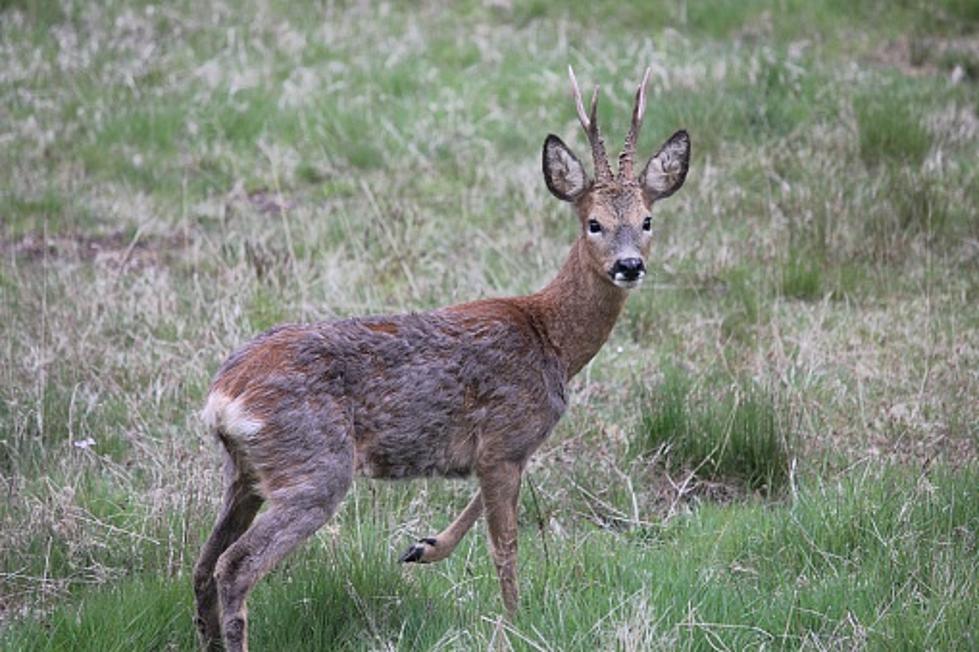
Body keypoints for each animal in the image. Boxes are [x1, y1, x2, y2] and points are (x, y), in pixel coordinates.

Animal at [195, 67, 692, 652]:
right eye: (593, 223)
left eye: (648, 219)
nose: (629, 265)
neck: (552, 341)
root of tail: (222, 399)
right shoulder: (505, 436)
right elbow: (506, 545)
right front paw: (514, 622)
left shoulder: (504, 449)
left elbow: (480, 508)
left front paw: (423, 547)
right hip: (313, 466)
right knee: (235, 566)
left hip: (244, 472)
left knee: (203, 563)